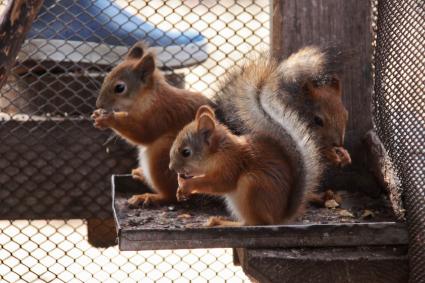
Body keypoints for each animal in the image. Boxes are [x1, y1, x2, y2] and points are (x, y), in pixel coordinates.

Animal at [93, 41, 212, 206]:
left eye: (120, 88)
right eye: (106, 78)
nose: (99, 105)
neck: (149, 98)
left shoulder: (160, 116)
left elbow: (143, 134)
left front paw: (108, 119)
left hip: (161, 153)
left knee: (171, 196)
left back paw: (149, 197)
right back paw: (141, 175)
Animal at [167, 102, 320, 226]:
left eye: (186, 152)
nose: (171, 167)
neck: (219, 151)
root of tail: (279, 217)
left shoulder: (231, 164)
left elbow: (220, 183)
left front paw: (187, 185)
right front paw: (180, 190)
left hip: (252, 187)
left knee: (254, 223)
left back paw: (222, 223)